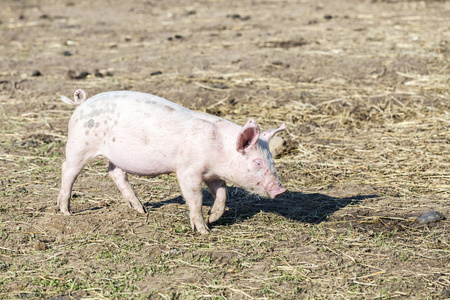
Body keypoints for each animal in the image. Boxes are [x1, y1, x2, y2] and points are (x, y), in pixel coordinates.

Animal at [58, 89, 286, 234]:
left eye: (271, 159)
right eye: (257, 162)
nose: (281, 190)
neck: (219, 148)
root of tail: (83, 103)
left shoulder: (214, 175)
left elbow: (222, 195)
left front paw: (212, 218)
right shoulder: (188, 171)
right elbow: (195, 198)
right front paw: (204, 231)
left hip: (115, 156)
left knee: (115, 173)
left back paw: (140, 210)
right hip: (79, 145)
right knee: (67, 170)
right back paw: (66, 211)